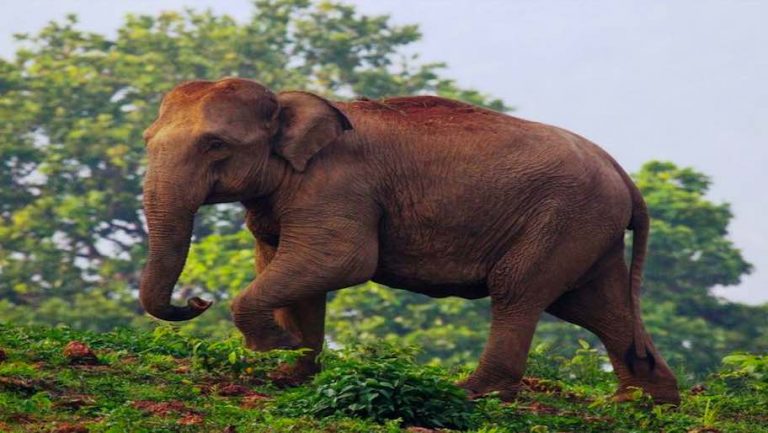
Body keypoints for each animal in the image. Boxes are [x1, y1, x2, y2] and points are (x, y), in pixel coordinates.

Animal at [139, 77, 680, 404]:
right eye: (145, 140)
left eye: (215, 145)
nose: (197, 300)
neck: (291, 100)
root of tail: (623, 175)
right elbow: (289, 267)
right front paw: (288, 371)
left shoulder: (338, 186)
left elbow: (340, 259)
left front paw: (274, 348)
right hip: (587, 228)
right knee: (596, 305)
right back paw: (646, 403)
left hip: (564, 218)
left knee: (518, 291)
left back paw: (474, 393)